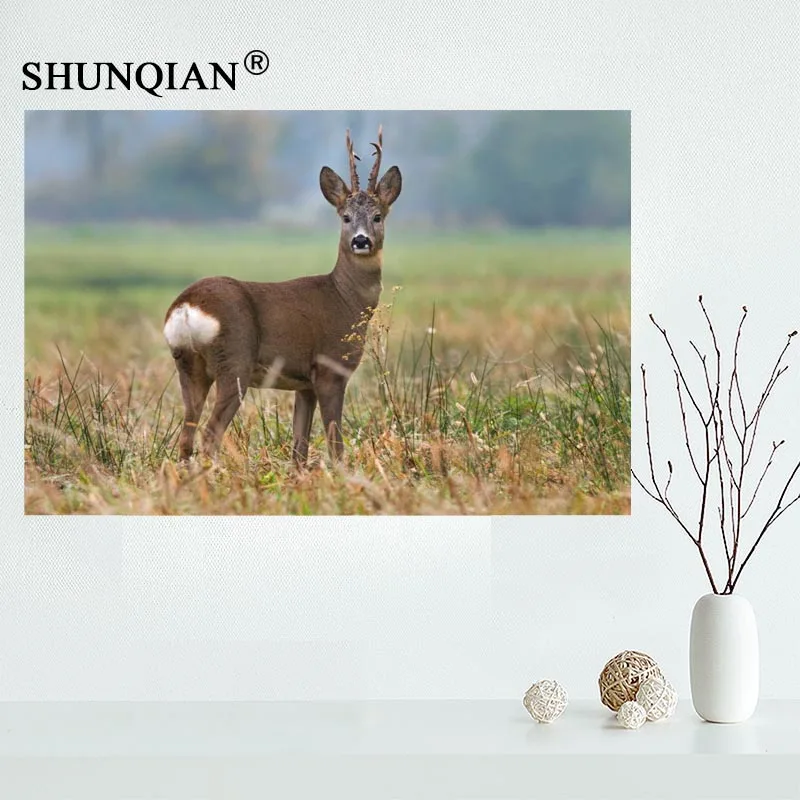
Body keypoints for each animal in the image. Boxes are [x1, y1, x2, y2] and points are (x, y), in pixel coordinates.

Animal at [162, 126, 402, 467]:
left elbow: (299, 448)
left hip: (189, 366)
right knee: (210, 435)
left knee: (186, 437)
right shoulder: (330, 369)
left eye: (378, 216)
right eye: (345, 217)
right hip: (234, 362)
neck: (345, 299)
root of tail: (186, 307)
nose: (360, 240)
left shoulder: (305, 385)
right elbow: (335, 444)